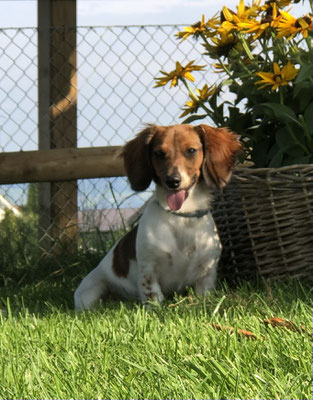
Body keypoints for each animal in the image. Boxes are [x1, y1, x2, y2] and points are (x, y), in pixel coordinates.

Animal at [74, 125, 240, 310]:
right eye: (159, 153)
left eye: (191, 151)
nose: (172, 181)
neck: (182, 217)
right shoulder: (148, 268)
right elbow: (153, 296)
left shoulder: (207, 271)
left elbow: (204, 294)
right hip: (90, 291)